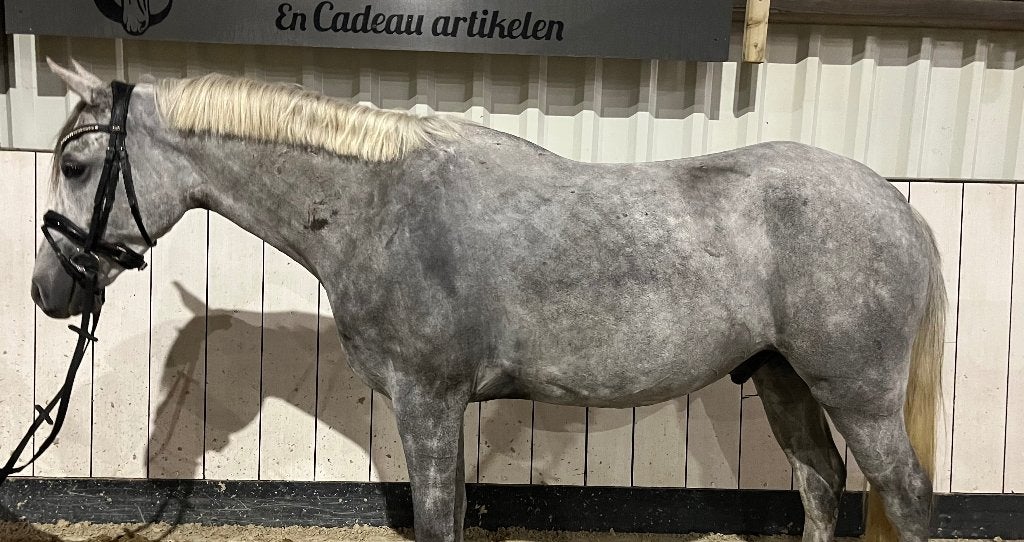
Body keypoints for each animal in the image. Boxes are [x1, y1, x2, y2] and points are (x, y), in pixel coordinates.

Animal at [31, 60, 945, 542]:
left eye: (75, 165)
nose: (47, 289)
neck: (382, 205)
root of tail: (896, 205)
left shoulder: (428, 402)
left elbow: (440, 519)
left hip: (857, 393)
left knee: (902, 492)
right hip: (783, 377)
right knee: (820, 480)